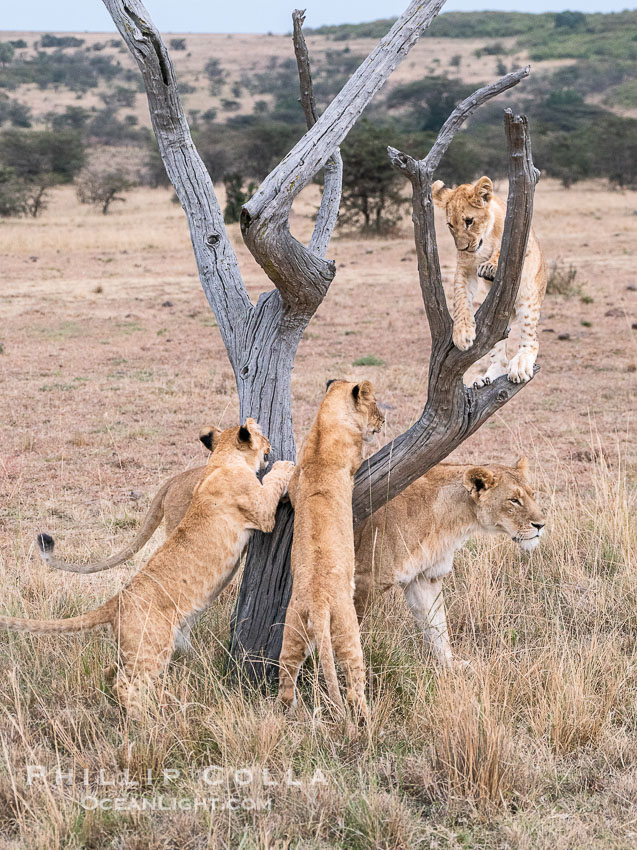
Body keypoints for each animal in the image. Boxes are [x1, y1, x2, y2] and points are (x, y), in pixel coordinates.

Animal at [3, 420, 294, 709]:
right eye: (265, 439)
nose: (270, 447)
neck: (221, 460)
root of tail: (116, 601)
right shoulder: (262, 512)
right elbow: (271, 483)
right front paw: (286, 465)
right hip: (152, 648)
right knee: (125, 684)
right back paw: (147, 714)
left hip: (136, 648)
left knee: (110, 671)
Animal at [278, 380, 385, 717]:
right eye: (375, 404)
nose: (383, 420)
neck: (324, 422)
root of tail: (318, 603)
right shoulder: (353, 457)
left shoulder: (296, 481)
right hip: (347, 628)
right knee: (353, 680)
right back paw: (365, 714)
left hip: (294, 628)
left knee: (286, 673)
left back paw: (286, 711)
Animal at [354, 457, 545, 668]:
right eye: (514, 500)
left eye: (532, 494)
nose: (541, 525)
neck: (450, 520)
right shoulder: (364, 580)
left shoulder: (425, 577)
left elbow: (437, 626)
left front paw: (450, 666)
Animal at [432, 175, 547, 385]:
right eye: (450, 225)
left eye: (469, 221)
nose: (463, 248)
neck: (486, 238)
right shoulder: (465, 267)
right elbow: (460, 298)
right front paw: (462, 333)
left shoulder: (522, 241)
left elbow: (501, 250)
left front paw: (490, 265)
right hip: (494, 322)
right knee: (497, 352)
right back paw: (486, 378)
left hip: (530, 300)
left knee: (532, 340)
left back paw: (520, 365)